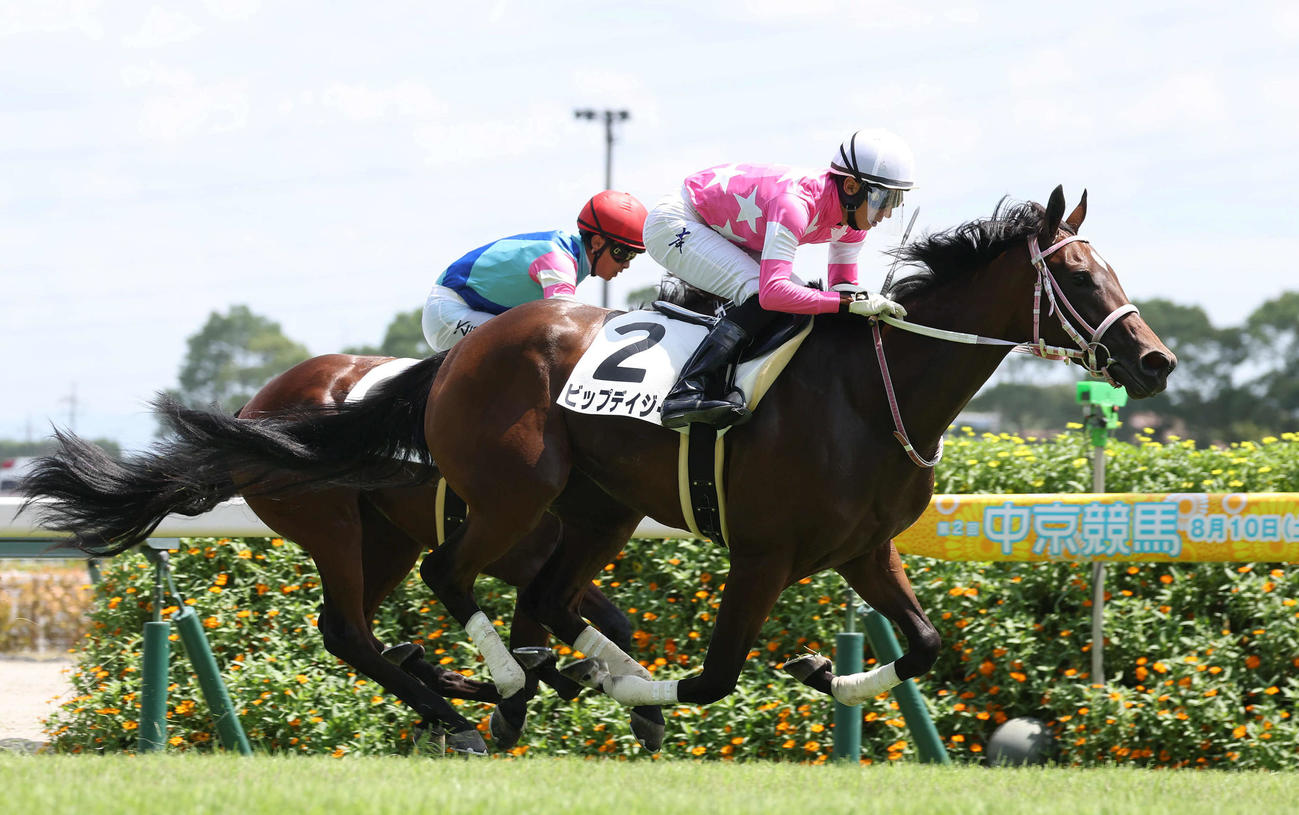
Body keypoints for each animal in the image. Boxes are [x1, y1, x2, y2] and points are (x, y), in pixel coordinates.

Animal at [21, 353, 662, 754]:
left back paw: (438, 685)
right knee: (347, 631)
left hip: (386, 537)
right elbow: (543, 633)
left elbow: (600, 622)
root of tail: (250, 413)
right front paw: (531, 696)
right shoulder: (517, 547)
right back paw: (454, 714)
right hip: (330, 521)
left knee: (360, 631)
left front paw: (617, 697)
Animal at [87, 187, 1176, 734]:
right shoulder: (762, 552)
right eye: (1081, 276)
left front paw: (821, 667)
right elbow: (711, 677)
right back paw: (478, 693)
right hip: (490, 498)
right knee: (429, 588)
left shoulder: (865, 548)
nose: (1154, 361)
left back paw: (478, 687)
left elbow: (923, 645)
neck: (874, 392)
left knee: (400, 619)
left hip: (563, 511)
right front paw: (599, 690)